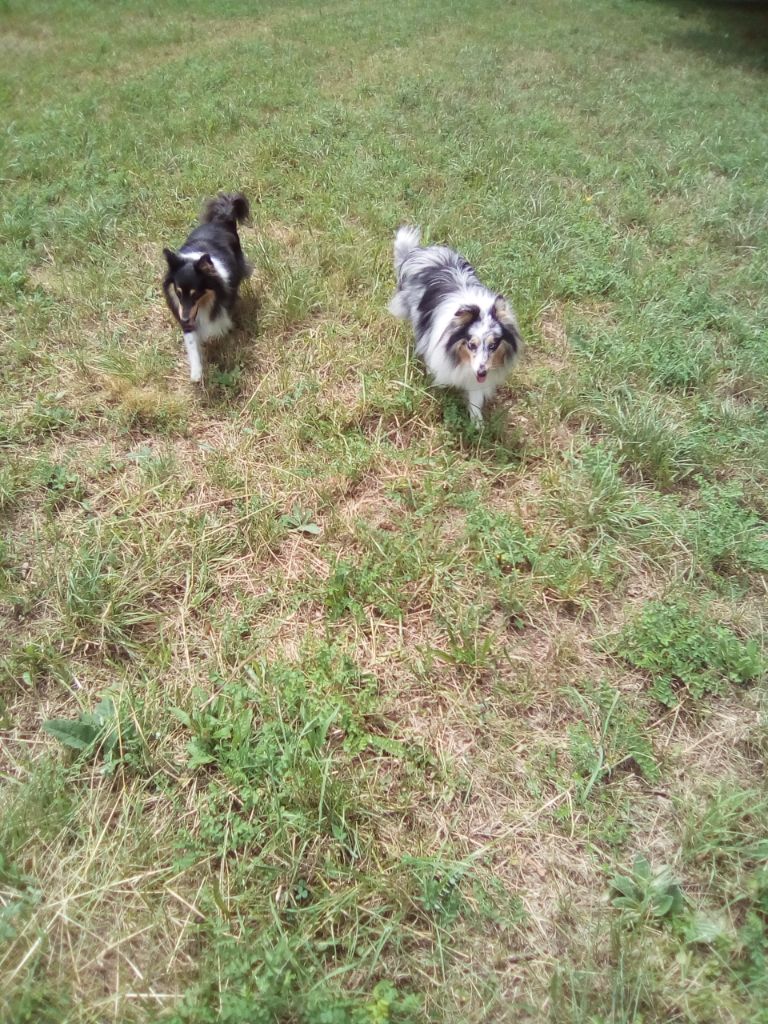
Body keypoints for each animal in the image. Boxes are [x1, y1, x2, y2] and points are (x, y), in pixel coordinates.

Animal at [162, 192, 251, 383]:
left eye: (196, 293)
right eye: (178, 293)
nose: (185, 319)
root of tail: (221, 219)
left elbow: (219, 324)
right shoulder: (184, 314)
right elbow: (192, 343)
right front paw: (196, 373)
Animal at [388, 226, 522, 422]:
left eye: (494, 345)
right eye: (471, 345)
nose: (482, 372)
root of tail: (425, 251)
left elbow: (475, 399)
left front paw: (477, 423)